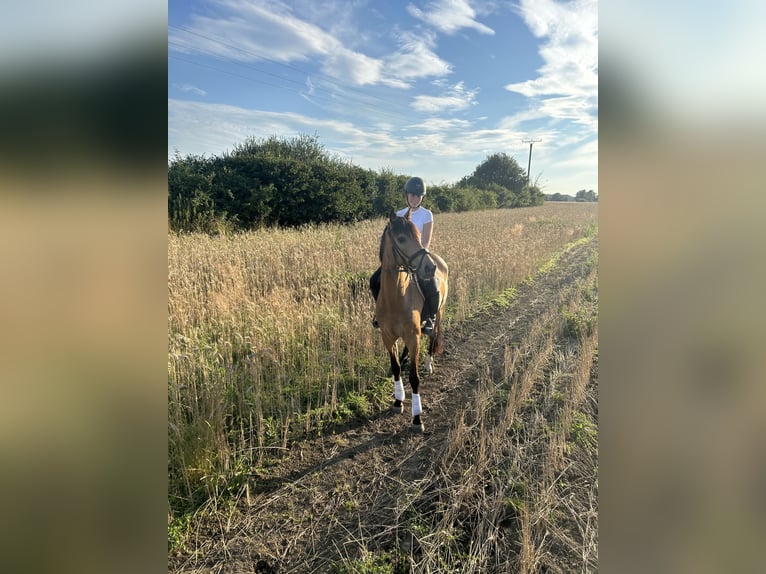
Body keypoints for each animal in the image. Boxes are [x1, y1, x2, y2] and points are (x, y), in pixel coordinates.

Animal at [378, 210, 450, 432]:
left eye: (419, 236)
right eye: (401, 239)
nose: (430, 267)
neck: (395, 298)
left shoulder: (413, 336)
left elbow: (414, 377)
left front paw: (417, 417)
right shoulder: (388, 337)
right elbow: (396, 369)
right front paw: (398, 400)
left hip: (439, 313)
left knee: (433, 335)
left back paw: (428, 364)